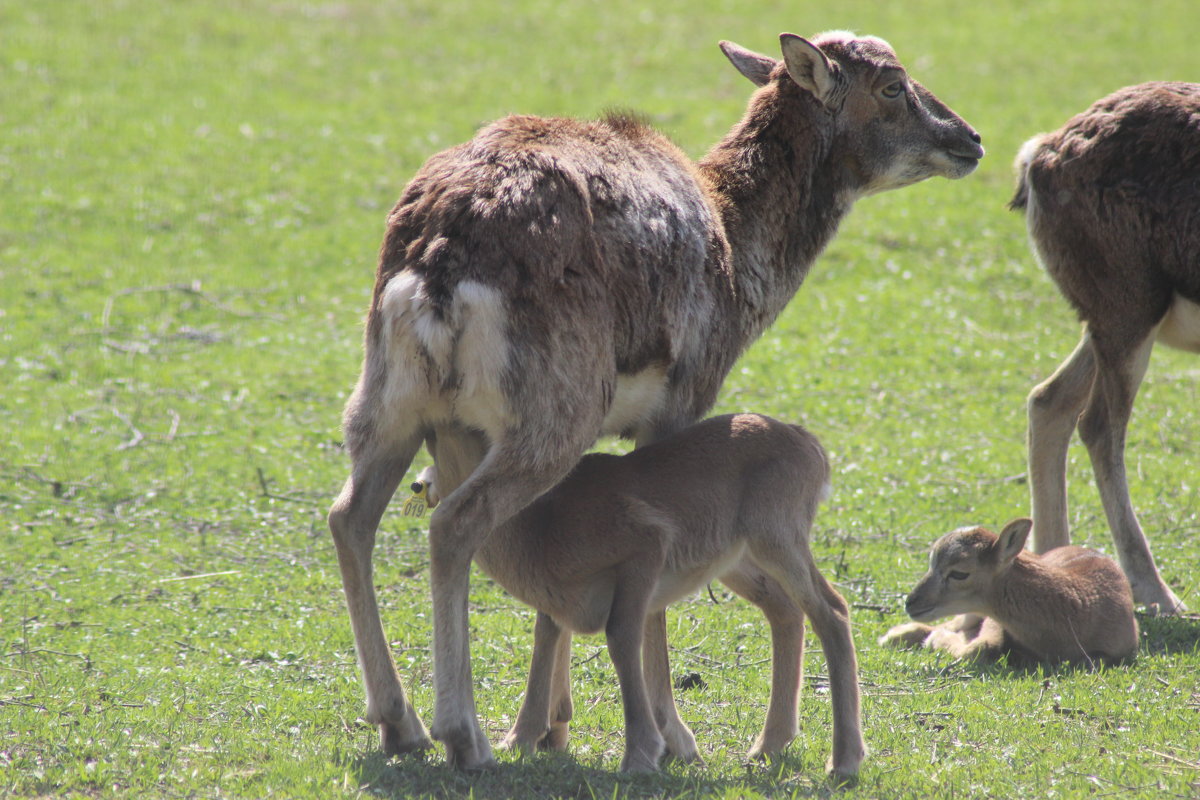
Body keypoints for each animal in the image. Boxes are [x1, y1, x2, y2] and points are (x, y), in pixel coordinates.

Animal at [326, 31, 984, 767]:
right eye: (894, 85)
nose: (970, 138)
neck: (739, 253)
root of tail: (434, 269)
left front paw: (550, 728)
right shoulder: (680, 403)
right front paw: (673, 739)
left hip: (388, 407)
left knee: (350, 517)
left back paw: (400, 723)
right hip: (550, 414)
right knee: (452, 525)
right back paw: (462, 733)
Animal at [1012, 82, 1200, 614]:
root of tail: (1044, 151)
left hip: (1109, 325)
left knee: (1048, 401)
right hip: (1128, 319)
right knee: (1098, 427)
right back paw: (1158, 593)